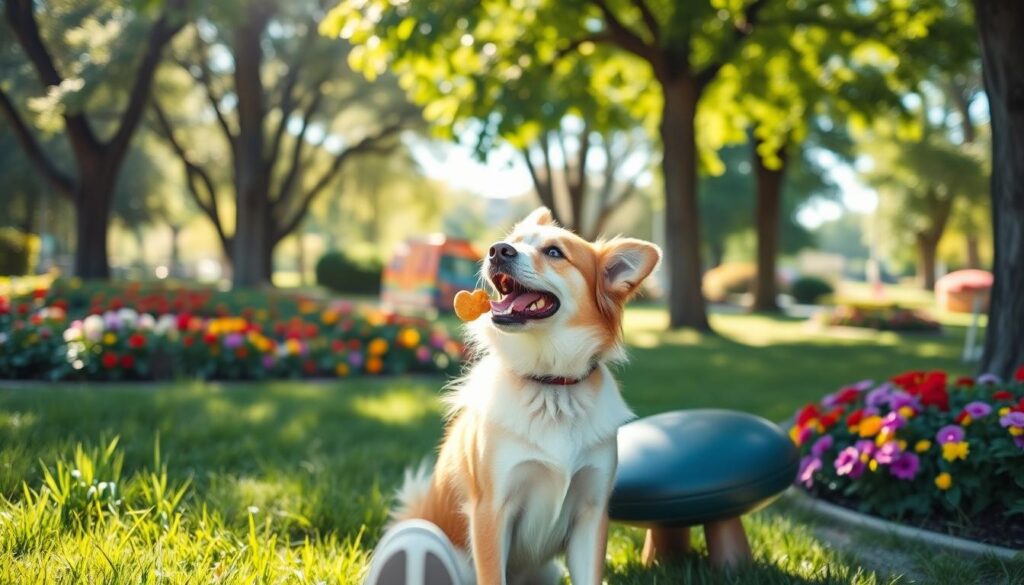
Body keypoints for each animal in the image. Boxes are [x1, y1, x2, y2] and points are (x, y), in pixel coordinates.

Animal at [387, 207, 659, 581]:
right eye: (512, 242)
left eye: (554, 252)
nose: (497, 251)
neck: (549, 383)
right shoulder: (491, 510)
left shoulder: (591, 513)